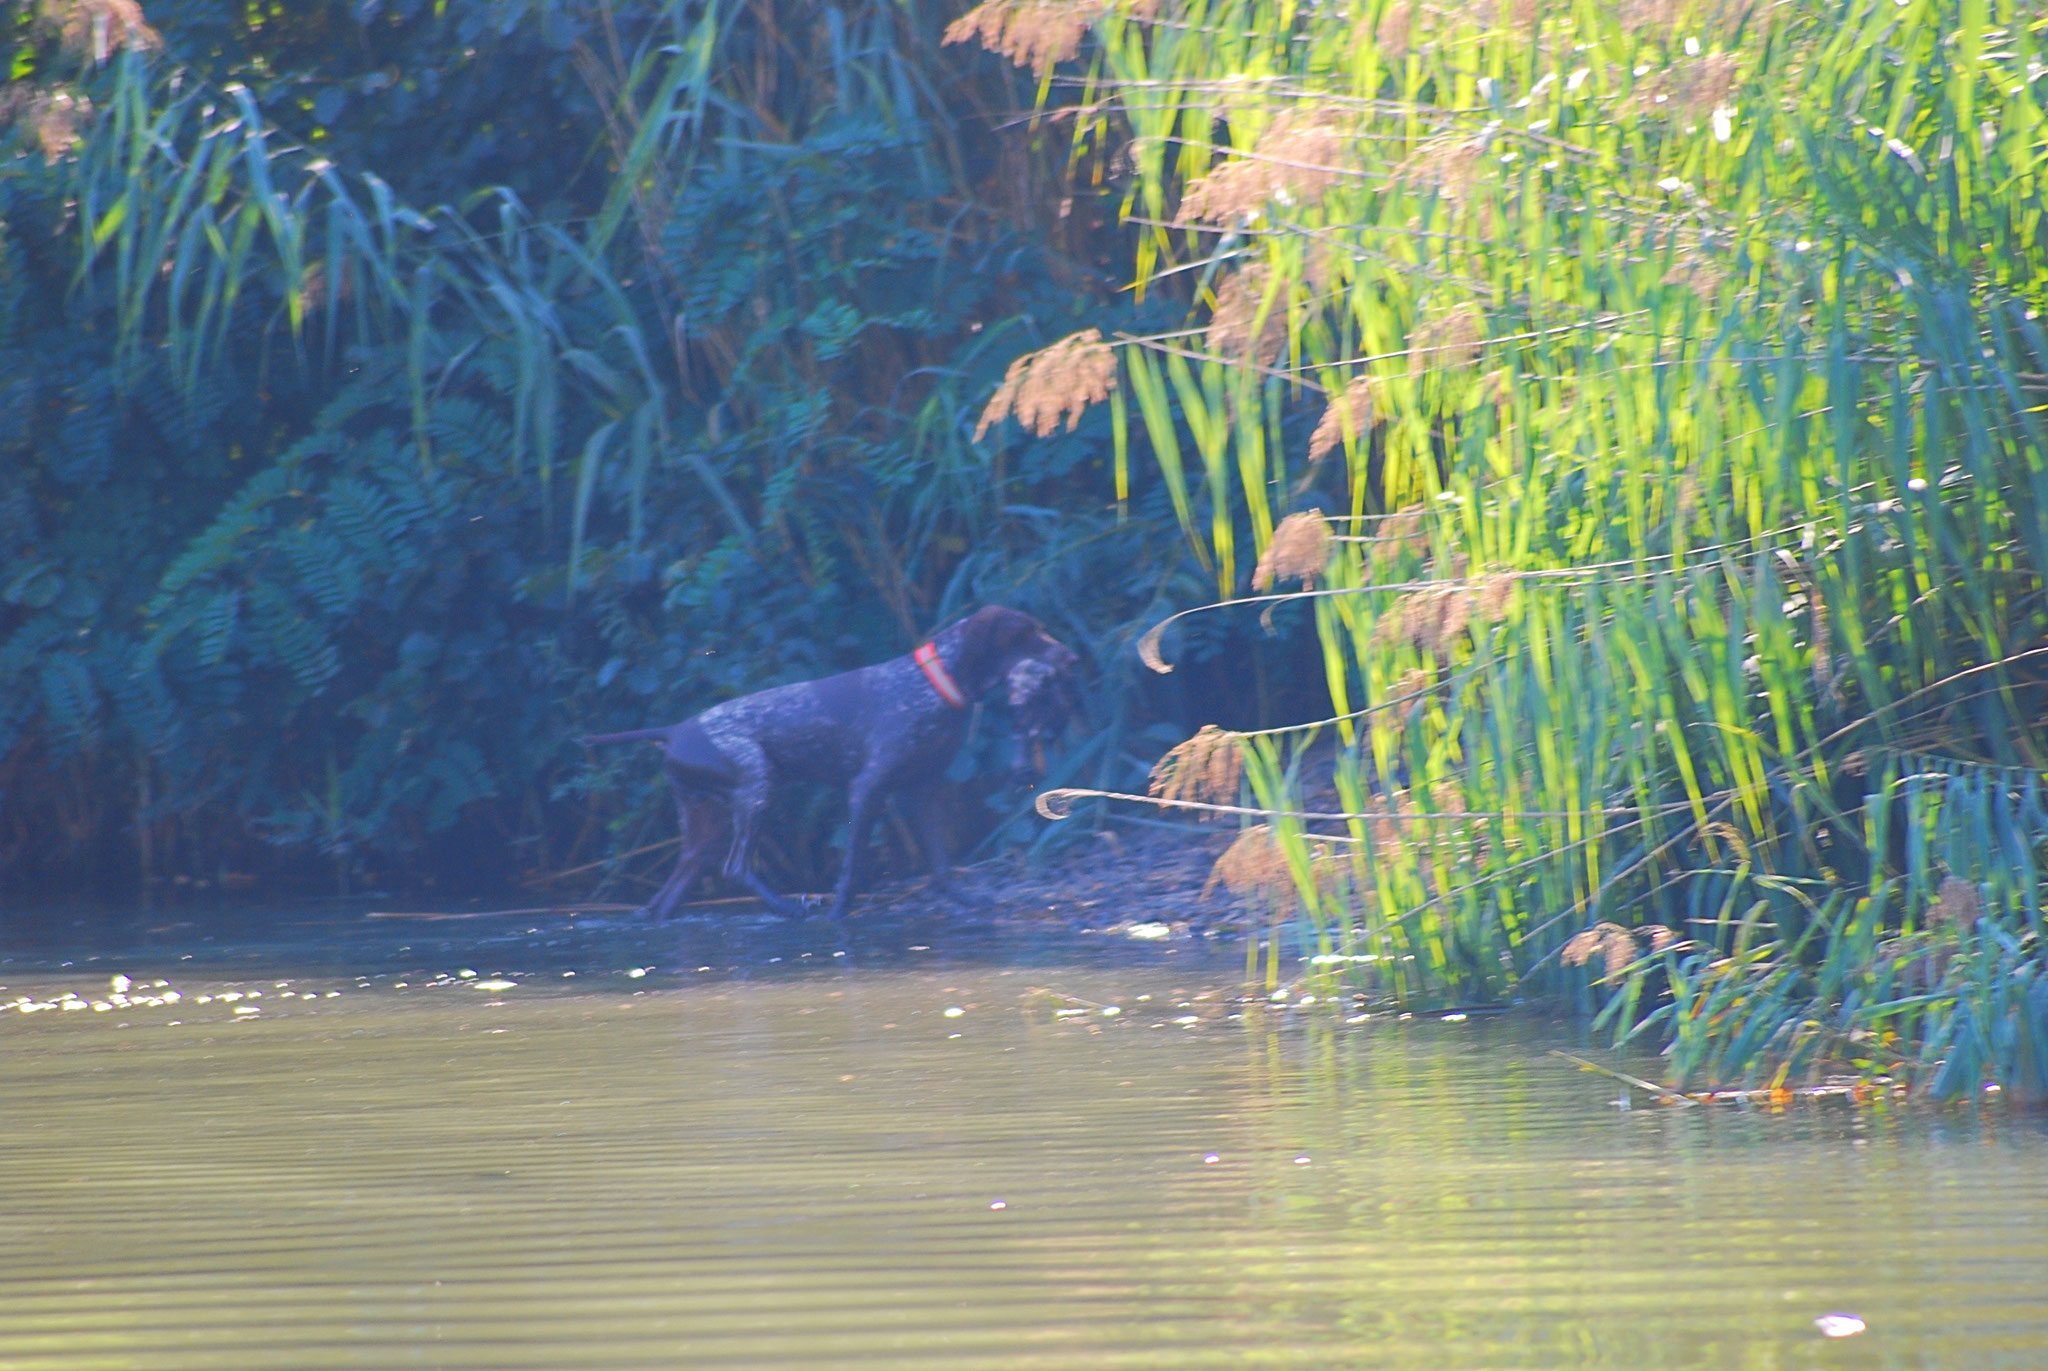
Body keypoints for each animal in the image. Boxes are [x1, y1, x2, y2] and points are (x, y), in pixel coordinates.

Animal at [581, 602, 1073, 914]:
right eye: (1027, 634)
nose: (1070, 656)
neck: (934, 683)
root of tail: (675, 730)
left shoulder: (924, 792)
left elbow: (940, 865)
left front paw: (966, 901)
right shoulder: (867, 789)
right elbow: (853, 869)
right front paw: (839, 914)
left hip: (704, 826)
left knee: (668, 898)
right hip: (757, 785)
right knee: (736, 867)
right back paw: (788, 908)